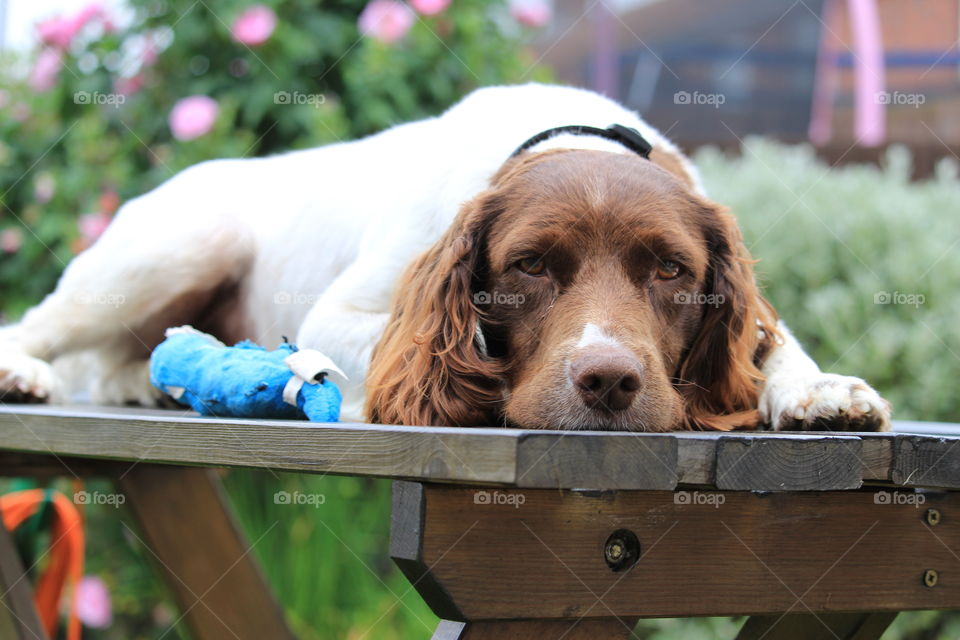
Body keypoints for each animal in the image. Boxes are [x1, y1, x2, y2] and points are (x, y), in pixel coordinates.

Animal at [0, 84, 892, 430]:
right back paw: (24, 372)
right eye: (530, 266)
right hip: (180, 242)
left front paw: (821, 389)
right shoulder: (340, 315)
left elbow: (772, 345)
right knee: (42, 323)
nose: (608, 382)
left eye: (671, 271)